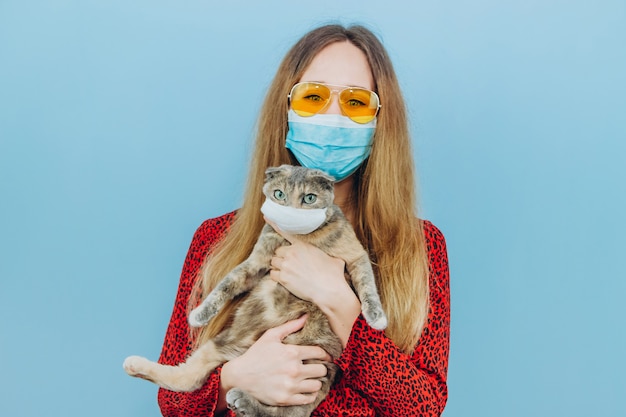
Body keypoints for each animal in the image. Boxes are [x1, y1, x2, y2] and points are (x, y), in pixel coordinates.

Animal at [122, 164, 386, 416]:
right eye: (279, 194)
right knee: (188, 380)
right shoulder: (256, 263)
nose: (291, 210)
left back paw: (244, 402)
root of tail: (238, 351)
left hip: (315, 366)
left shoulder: (355, 256)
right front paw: (200, 313)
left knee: (288, 413)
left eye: (309, 198)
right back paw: (136, 365)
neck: (298, 238)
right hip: (225, 345)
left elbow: (367, 286)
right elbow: (227, 284)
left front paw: (376, 317)